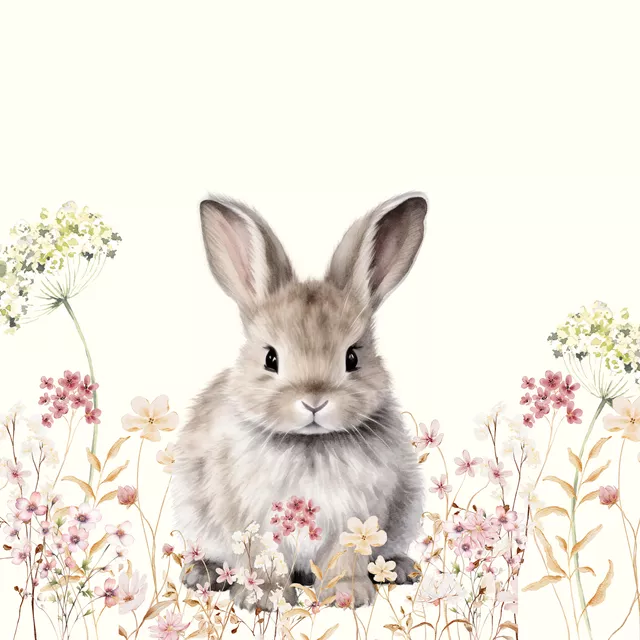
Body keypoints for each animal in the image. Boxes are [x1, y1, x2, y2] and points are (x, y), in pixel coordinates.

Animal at [173, 192, 428, 610]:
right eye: (270, 358)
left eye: (352, 358)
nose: (314, 402)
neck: (310, 443)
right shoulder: (252, 522)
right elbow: (263, 562)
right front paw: (262, 599)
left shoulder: (358, 517)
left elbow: (346, 557)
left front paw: (346, 596)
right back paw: (201, 574)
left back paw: (401, 568)